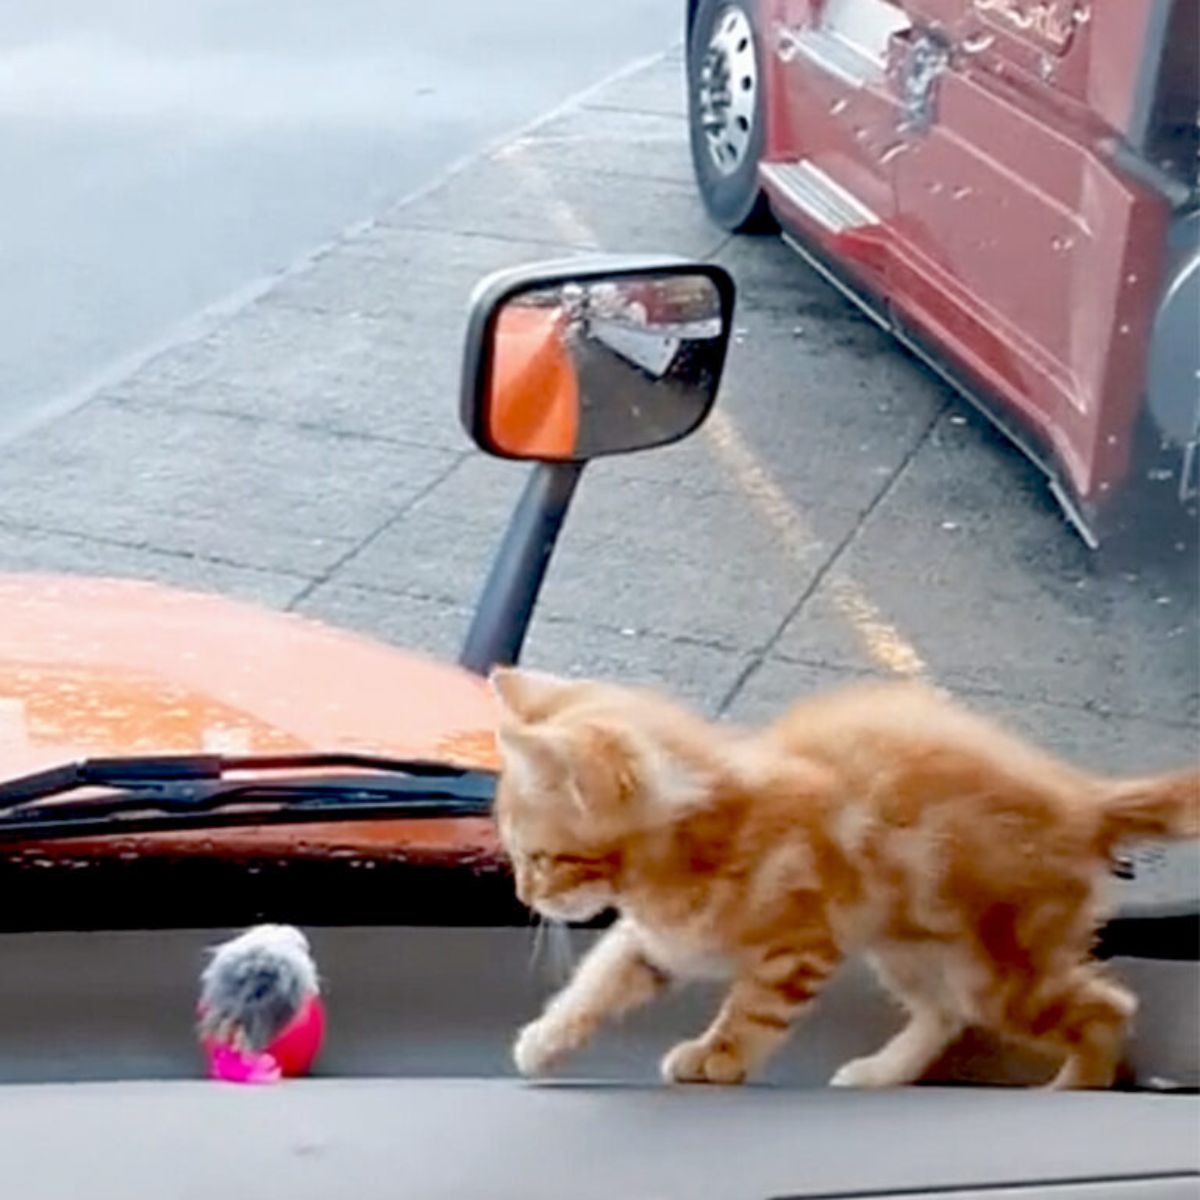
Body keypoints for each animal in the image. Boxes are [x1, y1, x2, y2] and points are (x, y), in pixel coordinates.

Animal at [489, 672, 1200, 1094]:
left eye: (540, 858)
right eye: (519, 856)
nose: (524, 896)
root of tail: (1085, 801)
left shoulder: (801, 946)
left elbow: (753, 1012)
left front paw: (718, 1059)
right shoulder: (657, 941)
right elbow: (597, 979)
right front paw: (543, 1042)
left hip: (999, 972)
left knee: (1108, 1008)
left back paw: (1073, 1088)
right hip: (912, 949)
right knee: (945, 1014)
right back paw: (883, 1073)